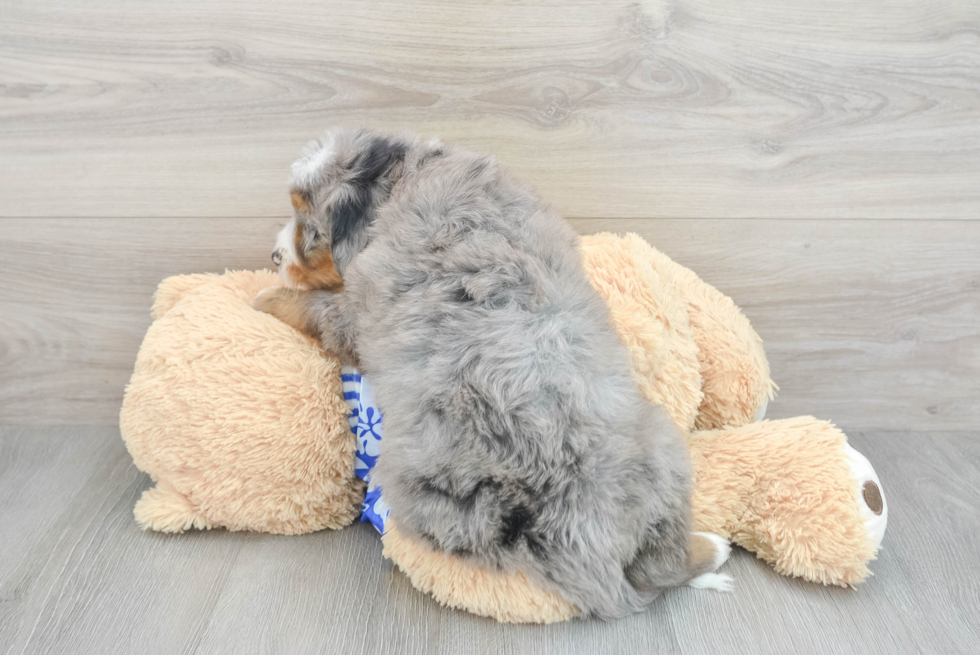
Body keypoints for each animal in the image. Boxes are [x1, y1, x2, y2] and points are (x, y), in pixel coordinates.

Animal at [253, 128, 728, 620]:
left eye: (311, 228)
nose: (273, 255)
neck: (407, 175)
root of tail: (573, 534)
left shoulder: (353, 313)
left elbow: (315, 308)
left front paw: (267, 296)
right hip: (663, 450)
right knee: (659, 563)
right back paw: (712, 550)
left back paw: (715, 548)